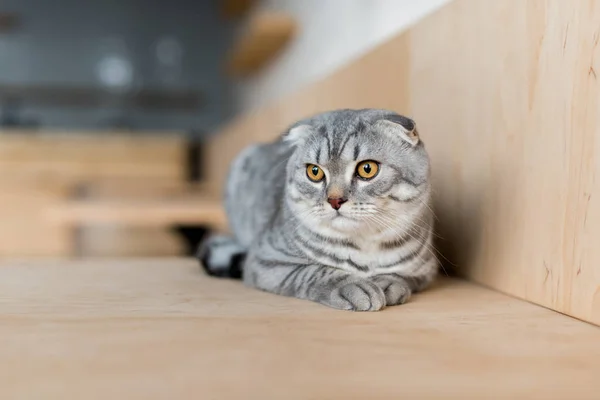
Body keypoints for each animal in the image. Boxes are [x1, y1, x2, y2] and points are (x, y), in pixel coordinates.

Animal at [199, 109, 438, 312]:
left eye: (367, 169)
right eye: (314, 172)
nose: (335, 200)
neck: (363, 246)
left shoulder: (426, 269)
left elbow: (401, 276)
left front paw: (387, 283)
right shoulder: (266, 259)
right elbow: (314, 271)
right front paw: (354, 286)